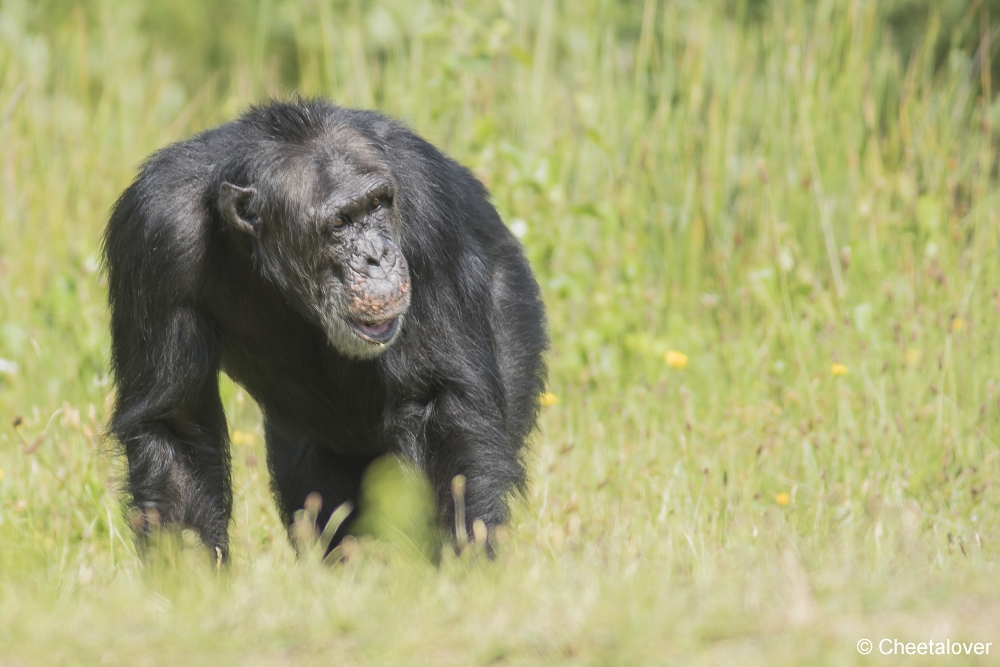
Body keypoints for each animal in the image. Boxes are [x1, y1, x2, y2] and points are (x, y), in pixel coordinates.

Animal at [103, 99, 548, 560]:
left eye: (377, 205)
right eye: (339, 223)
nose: (377, 256)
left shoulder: (427, 208)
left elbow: (439, 400)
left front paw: (462, 559)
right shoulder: (154, 232)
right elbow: (177, 424)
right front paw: (187, 571)